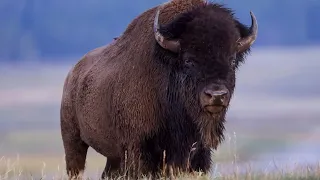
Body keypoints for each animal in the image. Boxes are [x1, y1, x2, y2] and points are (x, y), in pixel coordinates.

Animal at [60, 0, 258, 179]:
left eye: (232, 60)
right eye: (188, 60)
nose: (216, 95)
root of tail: (72, 74)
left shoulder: (197, 152)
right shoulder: (139, 149)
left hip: (112, 157)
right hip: (73, 141)